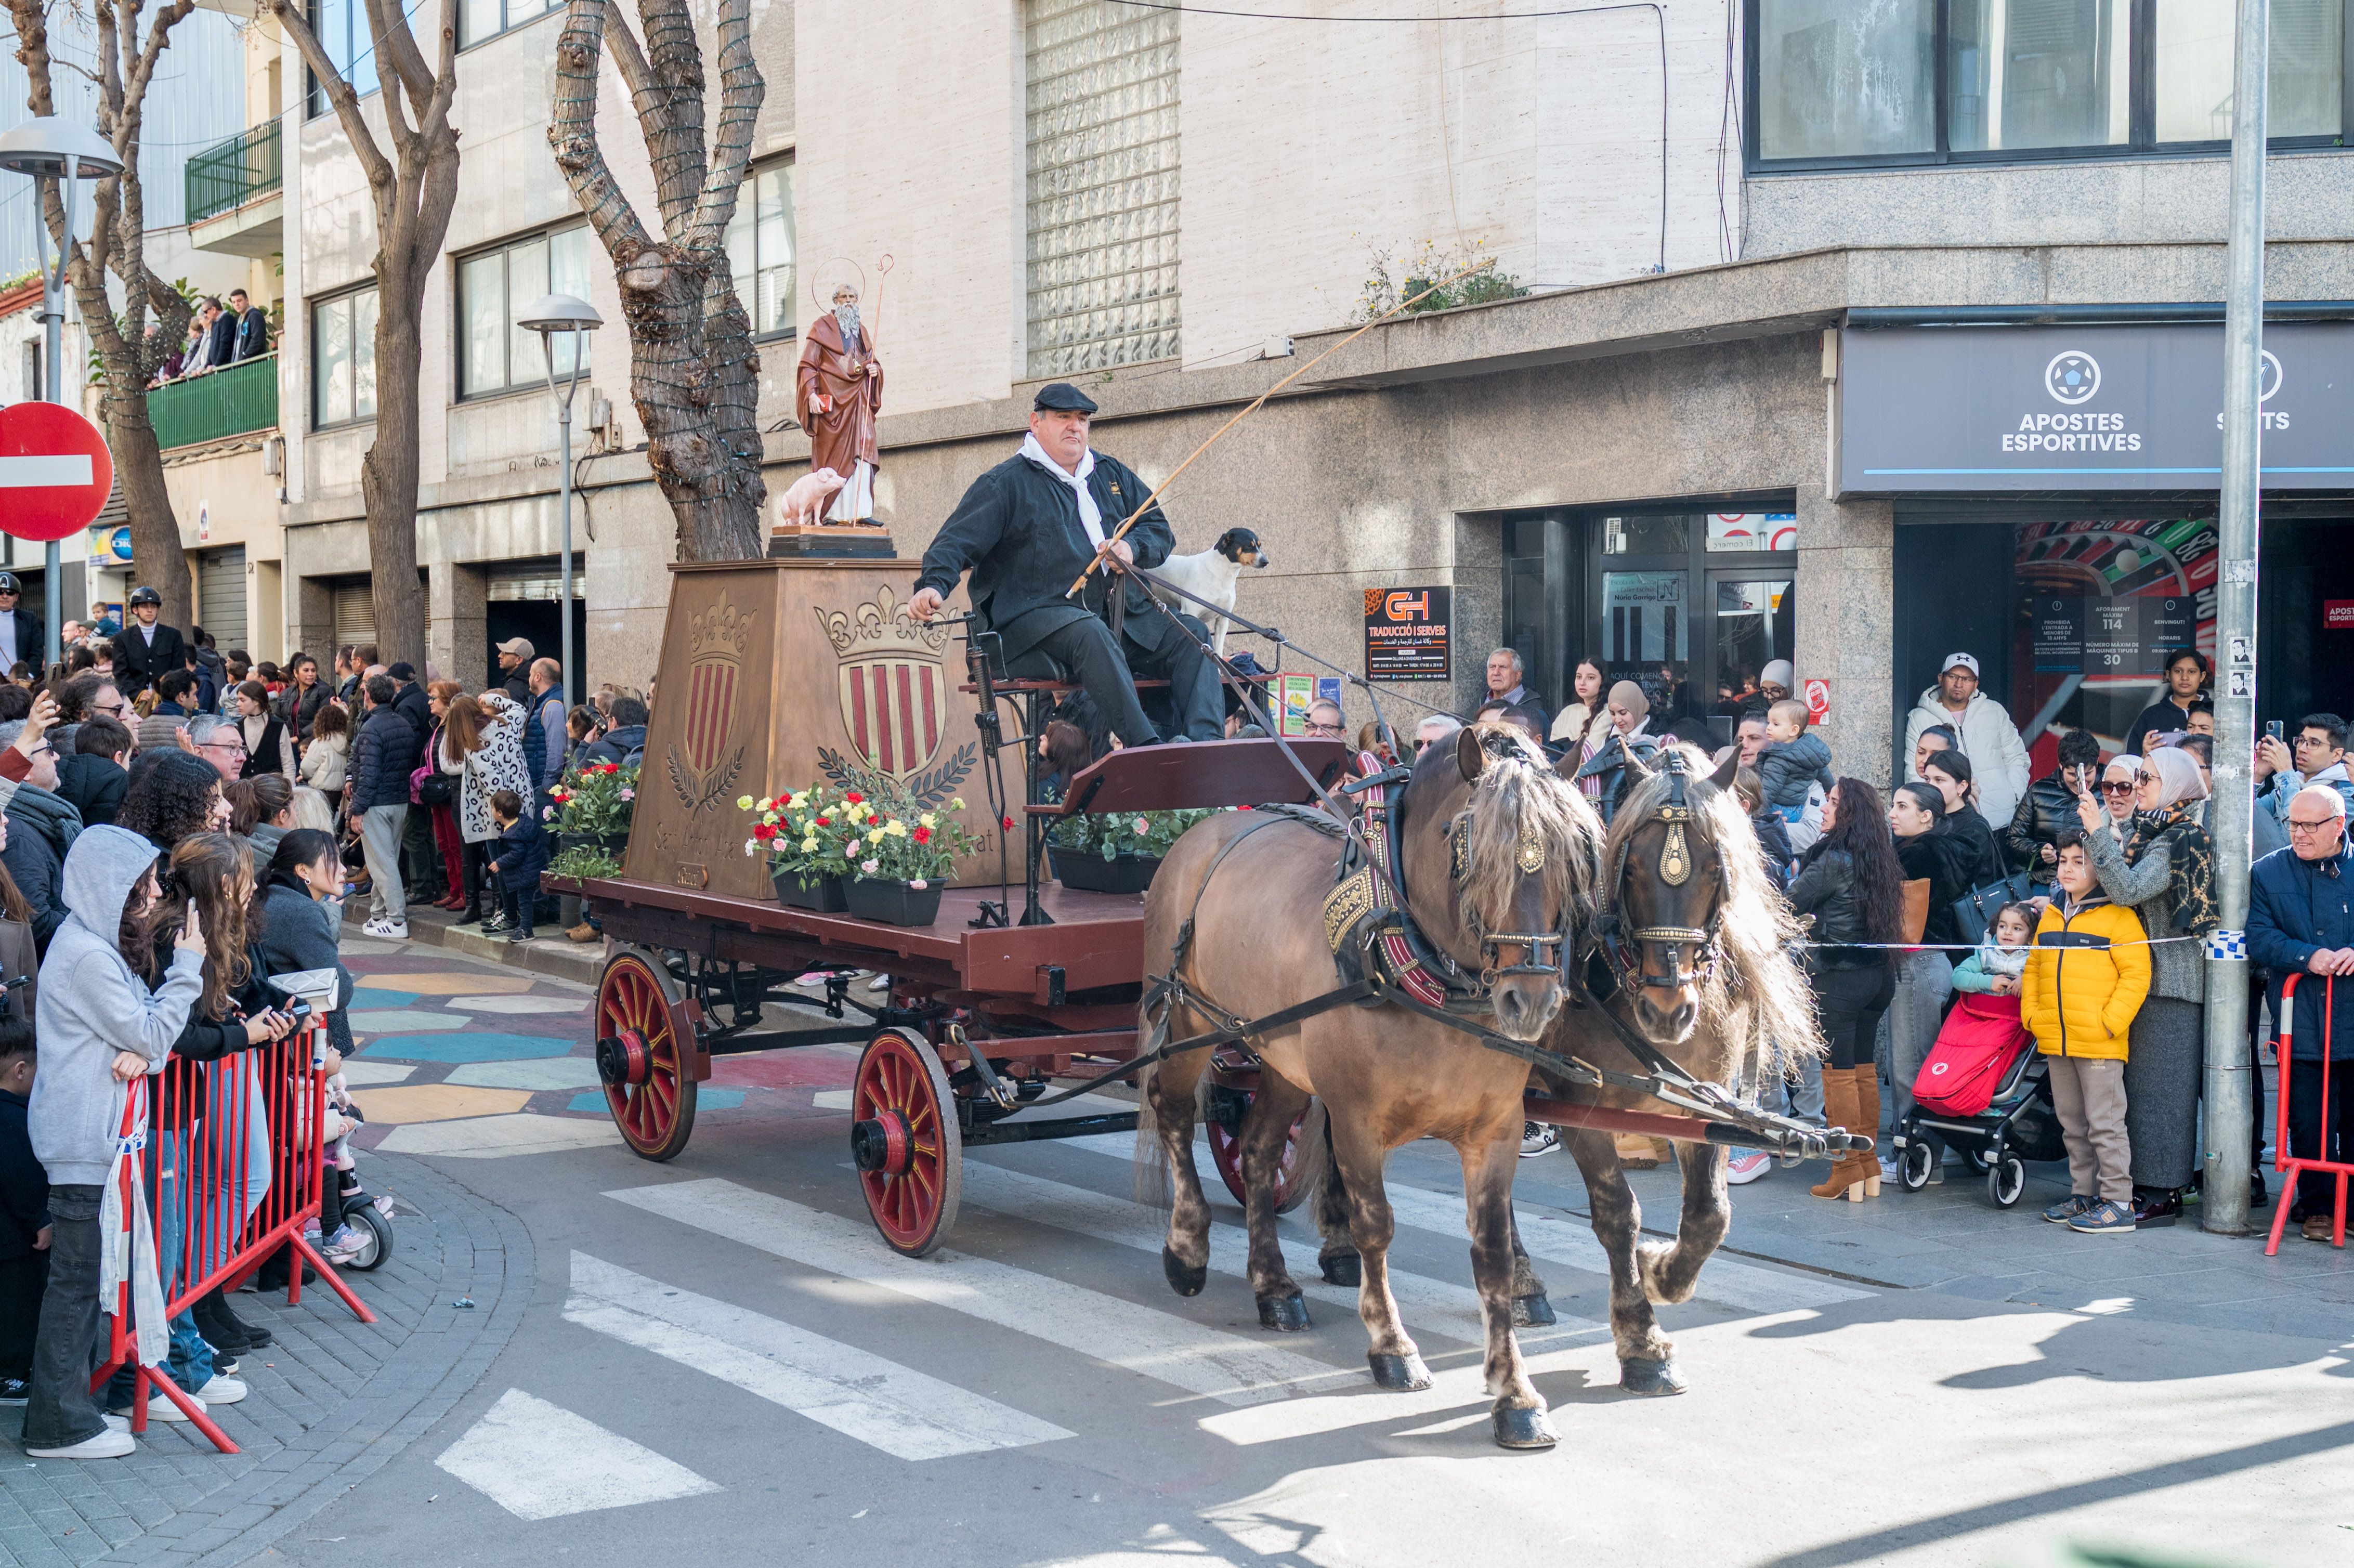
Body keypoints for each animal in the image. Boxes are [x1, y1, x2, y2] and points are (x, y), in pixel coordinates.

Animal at [1134, 725, 1601, 1450]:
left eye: (1571, 856)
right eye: (1470, 850)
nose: (1530, 1000)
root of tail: (1203, 830)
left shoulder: (1495, 1129)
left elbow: (1493, 1252)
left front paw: (1515, 1393)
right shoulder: (1355, 1119)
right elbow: (1374, 1226)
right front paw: (1391, 1345)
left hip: (1280, 1054)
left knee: (1259, 1148)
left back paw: (1274, 1286)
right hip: (1189, 1019)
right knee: (1175, 1112)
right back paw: (1187, 1249)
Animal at [1144, 525, 1271, 645]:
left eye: (1259, 546)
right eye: (1249, 546)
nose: (1265, 562)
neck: (1221, 574)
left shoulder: (1223, 620)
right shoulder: (1190, 613)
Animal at [1544, 744, 1817, 1393]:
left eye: (1716, 869)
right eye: (1631, 870)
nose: (1668, 1010)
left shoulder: (1704, 1098)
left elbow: (1709, 1214)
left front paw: (1663, 1273)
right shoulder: (1578, 1102)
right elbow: (1617, 1214)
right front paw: (1642, 1339)